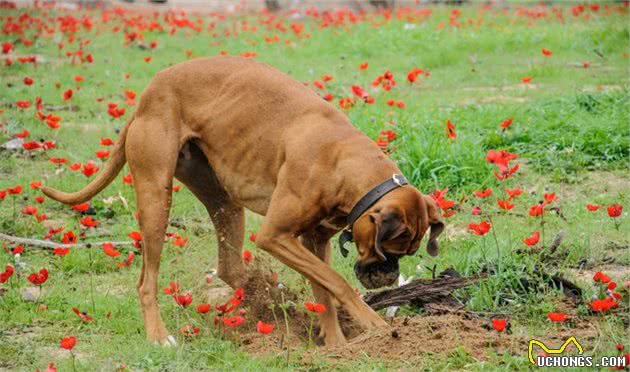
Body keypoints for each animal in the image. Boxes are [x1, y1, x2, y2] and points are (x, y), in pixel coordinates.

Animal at [42, 56, 446, 348]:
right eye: (387, 250)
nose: (389, 276)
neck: (345, 163)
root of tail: (147, 96)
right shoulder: (275, 235)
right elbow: (338, 283)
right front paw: (372, 325)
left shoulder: (313, 241)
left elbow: (325, 289)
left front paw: (336, 346)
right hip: (156, 200)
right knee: (147, 281)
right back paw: (159, 336)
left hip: (224, 202)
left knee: (229, 268)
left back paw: (265, 298)